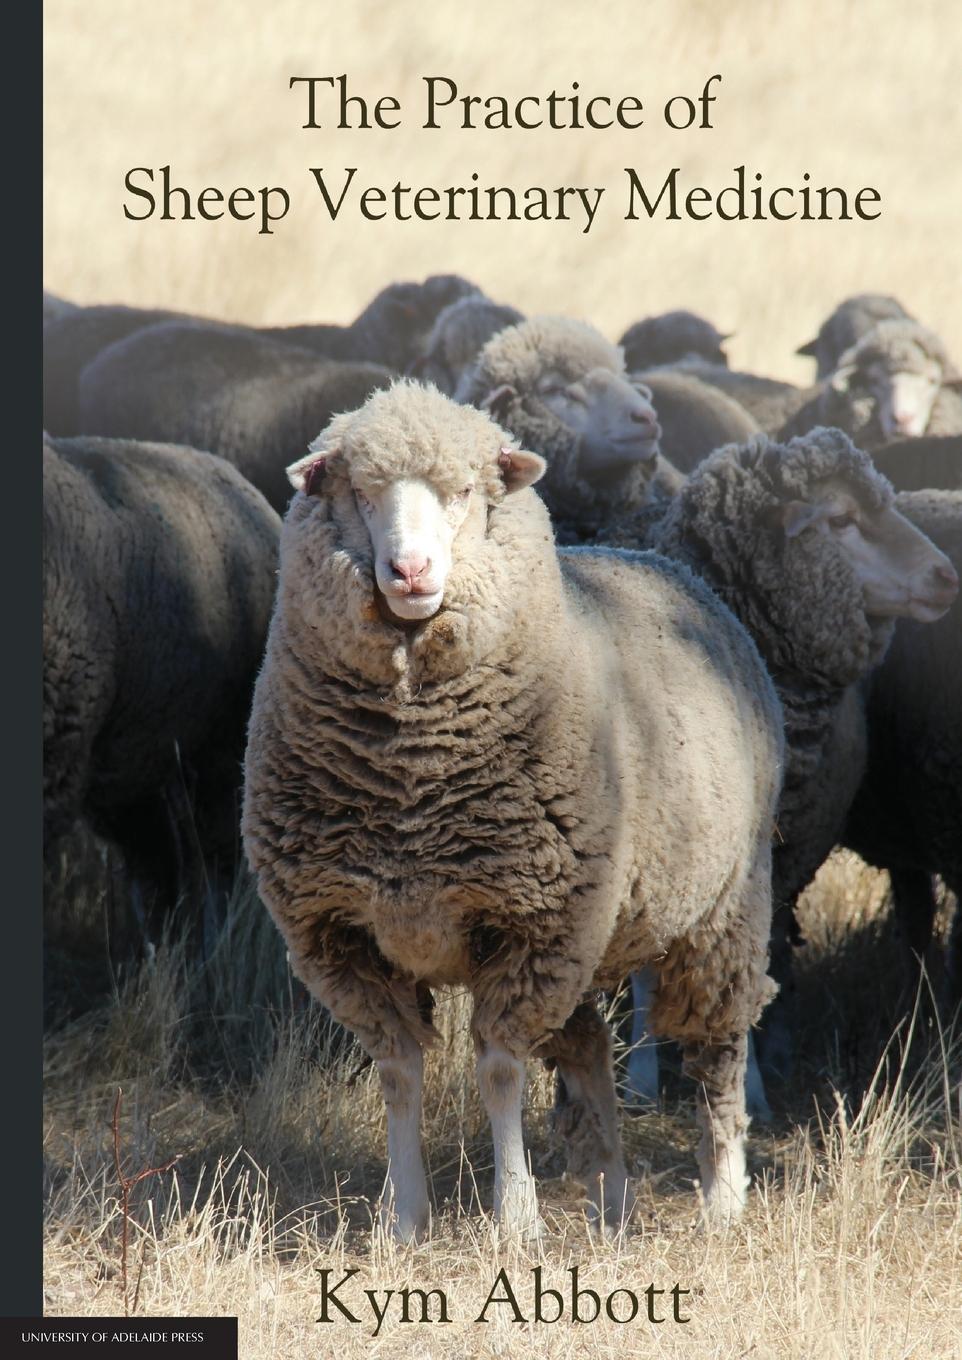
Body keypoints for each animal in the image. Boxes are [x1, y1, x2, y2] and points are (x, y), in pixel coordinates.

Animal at [242, 380, 784, 1240]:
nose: (410, 569)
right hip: (595, 926)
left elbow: (499, 1072)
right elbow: (399, 1073)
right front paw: (404, 1219)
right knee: (590, 1049)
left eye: (465, 492)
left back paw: (723, 1195)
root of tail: (660, 561)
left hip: (722, 908)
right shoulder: (344, 935)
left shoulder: (533, 926)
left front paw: (516, 1217)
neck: (410, 779)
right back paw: (612, 1201)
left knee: (720, 1048)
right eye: (360, 494)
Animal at [595, 429, 958, 1106]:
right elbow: (646, 974)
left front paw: (755, 1089)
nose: (946, 576)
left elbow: (757, 959)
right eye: (840, 519)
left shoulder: (770, 856)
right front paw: (642, 1082)